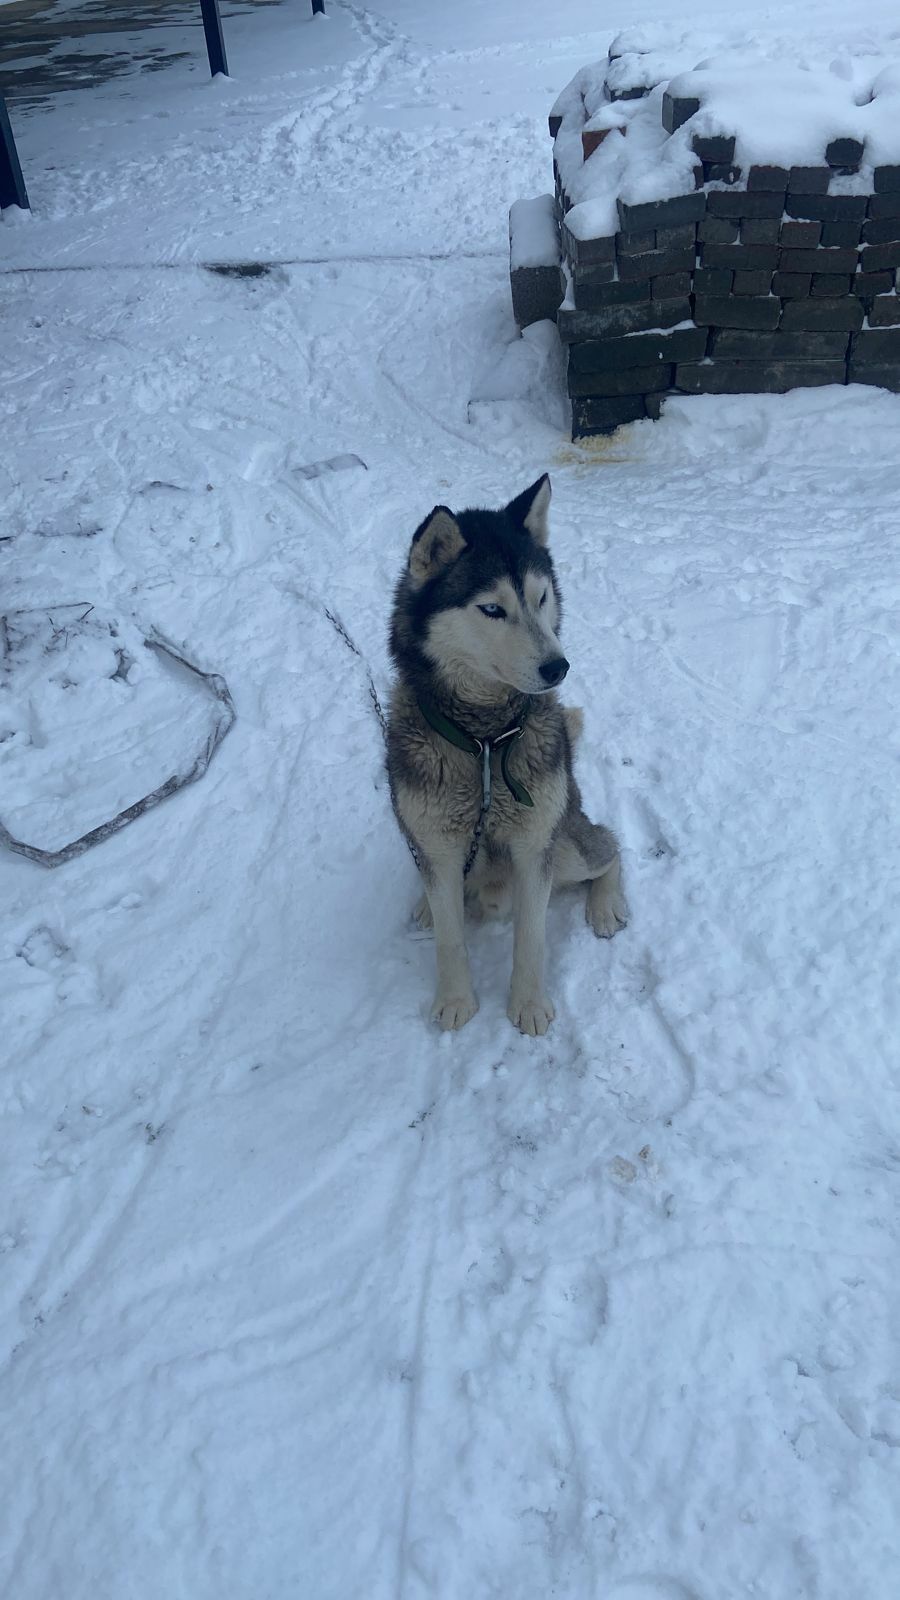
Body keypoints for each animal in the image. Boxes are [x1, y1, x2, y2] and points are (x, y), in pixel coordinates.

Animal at [385, 473, 624, 1036]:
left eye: (541, 598)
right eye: (492, 608)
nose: (558, 667)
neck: (486, 741)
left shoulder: (535, 848)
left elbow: (530, 939)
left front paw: (529, 1005)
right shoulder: (439, 847)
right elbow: (450, 937)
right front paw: (455, 1000)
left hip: (567, 843)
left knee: (610, 849)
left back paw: (605, 906)